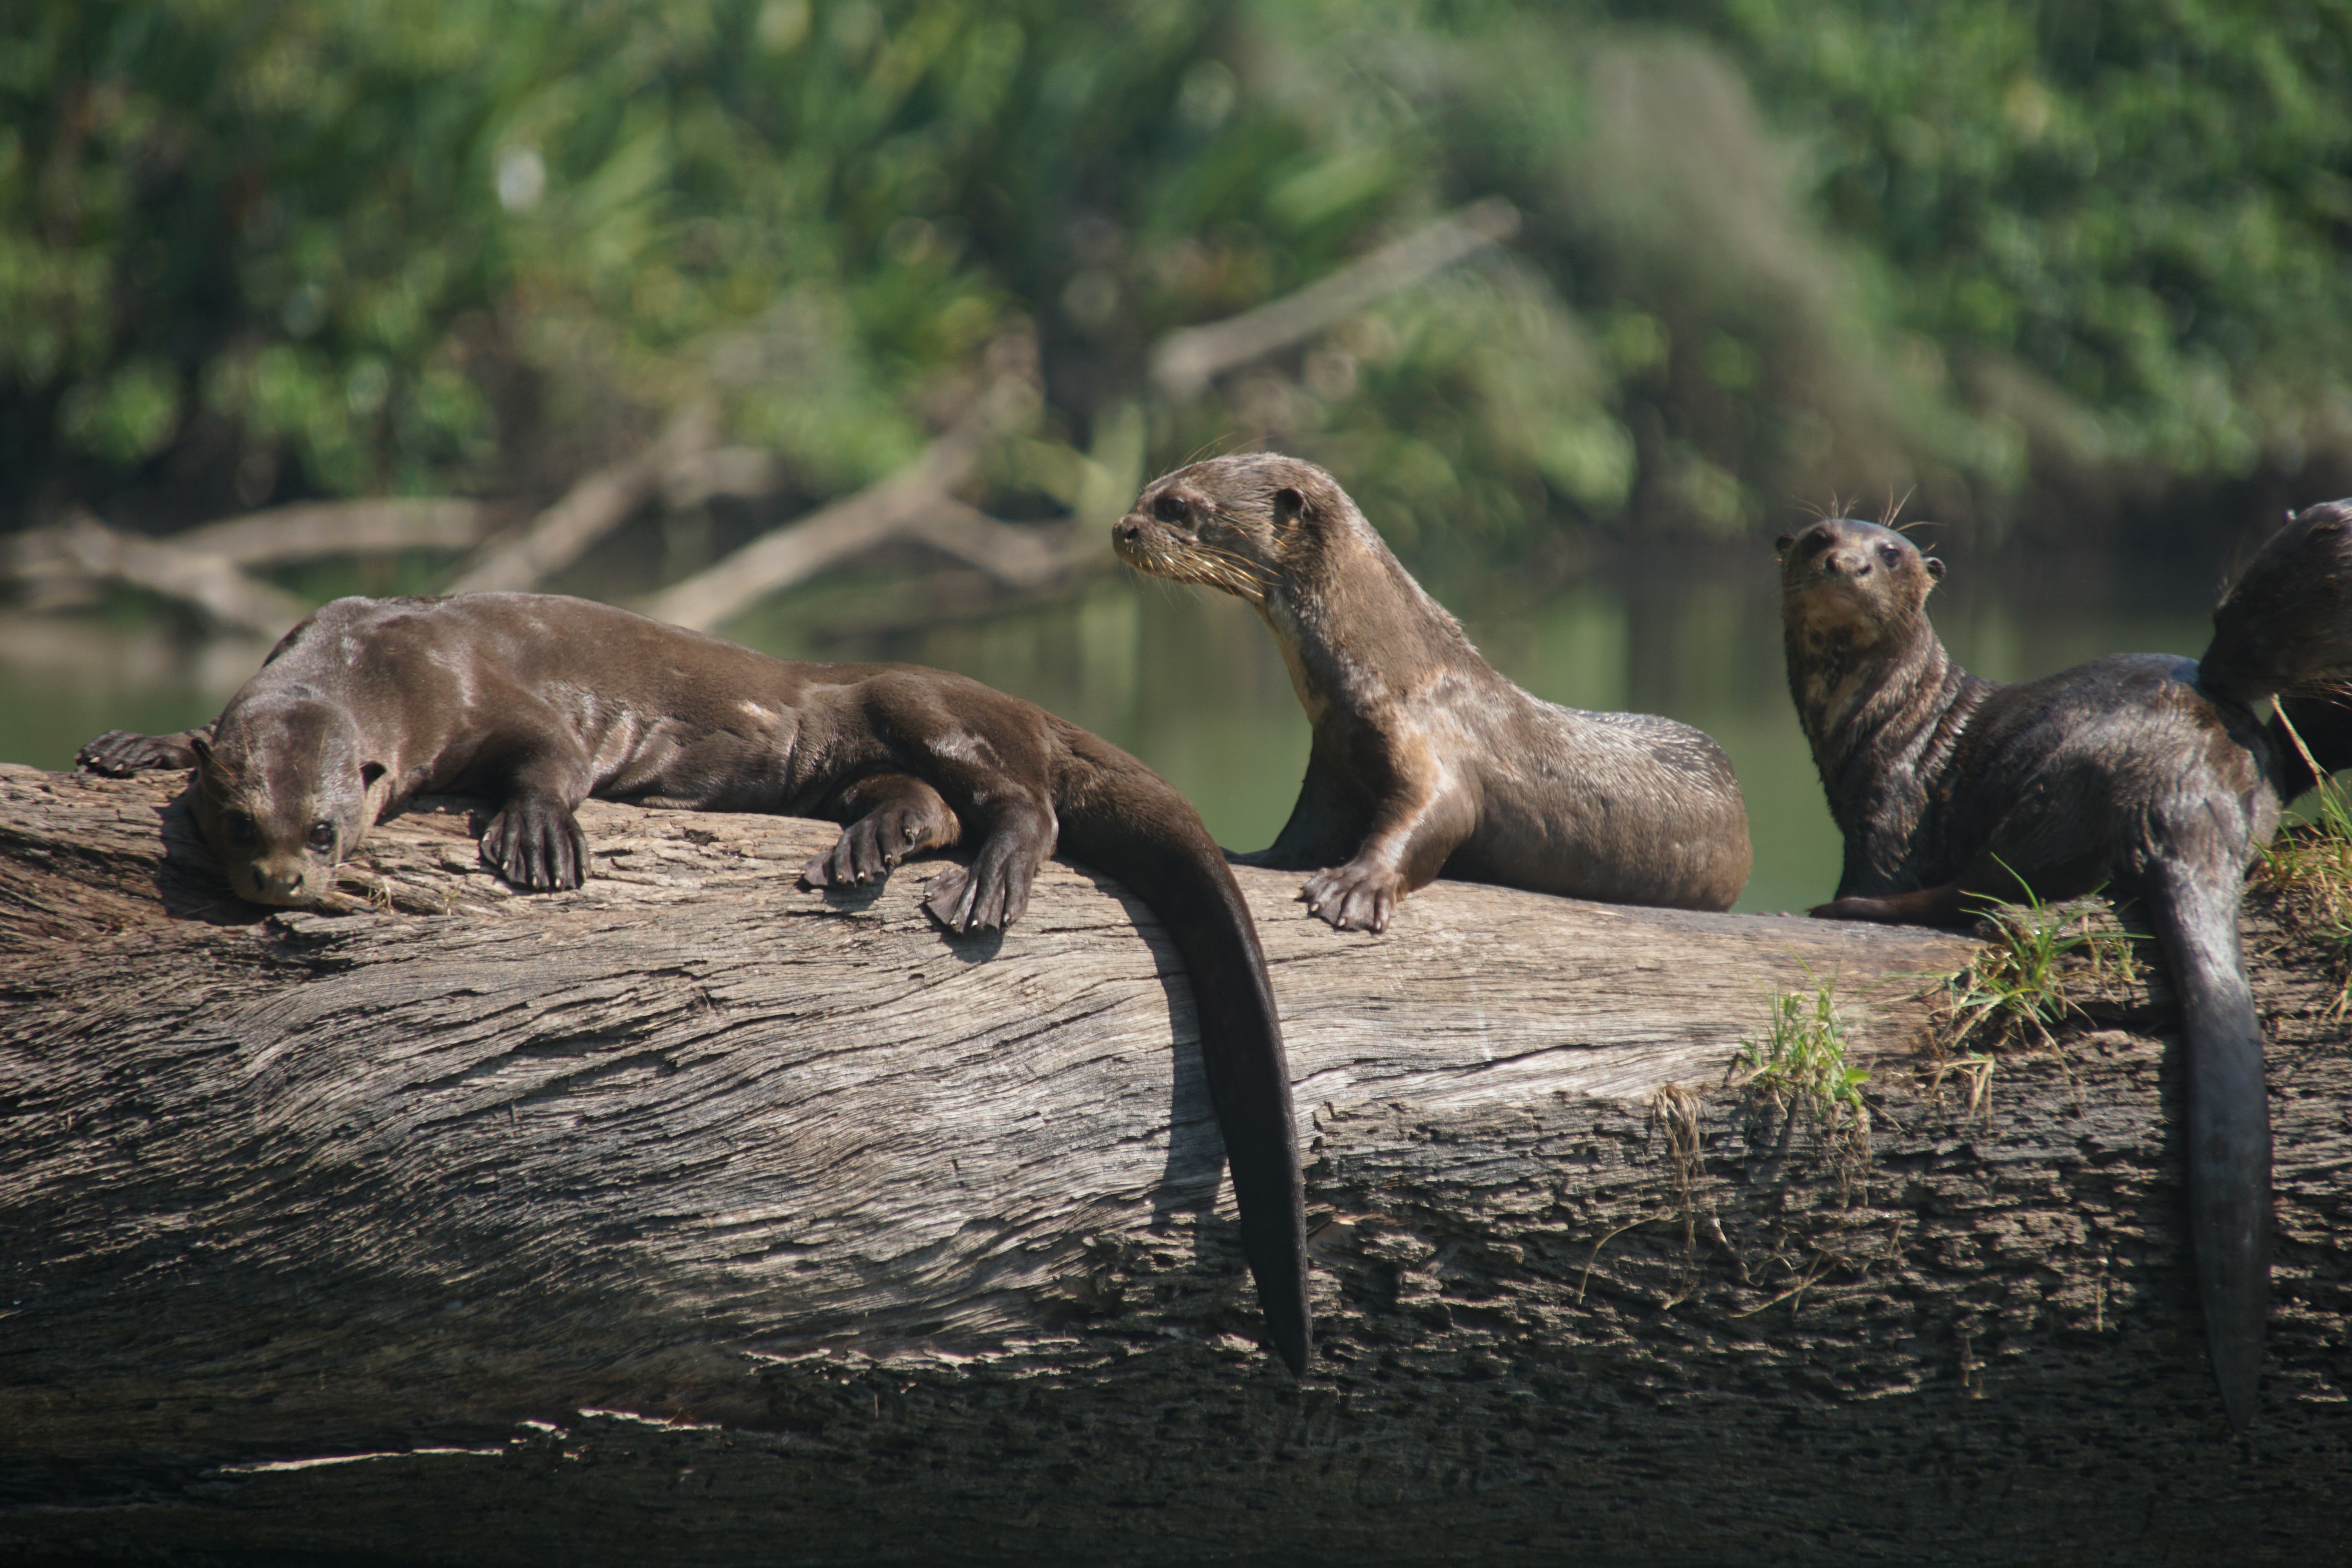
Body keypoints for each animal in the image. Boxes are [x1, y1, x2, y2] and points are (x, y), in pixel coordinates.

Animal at [78, 588, 1327, 1373]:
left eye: (329, 828)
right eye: (244, 822)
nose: (279, 880)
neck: (377, 657)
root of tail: (1023, 702)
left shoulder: (488, 698)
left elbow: (549, 759)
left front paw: (539, 837)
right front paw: (140, 745)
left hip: (926, 703)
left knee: (1023, 803)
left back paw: (988, 882)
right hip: (852, 757)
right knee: (919, 803)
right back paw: (867, 850)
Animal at [1115, 451, 1750, 931]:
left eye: (1176, 507)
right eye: (1145, 494)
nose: (1123, 528)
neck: (1389, 670)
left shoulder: (1433, 748)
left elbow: (1434, 812)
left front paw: (1353, 886)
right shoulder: (1333, 760)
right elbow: (1304, 832)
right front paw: (1251, 856)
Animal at [1769, 503, 2352, 1439]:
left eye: (1889, 552)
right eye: (1821, 538)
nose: (1847, 564)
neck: (1893, 722)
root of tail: (2194, 794)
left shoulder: (1890, 806)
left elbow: (1886, 868)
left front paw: (1841, 900)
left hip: (2051, 784)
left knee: (1981, 889)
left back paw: (1837, 911)